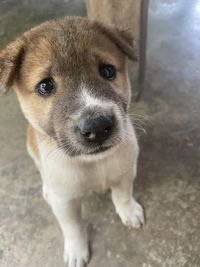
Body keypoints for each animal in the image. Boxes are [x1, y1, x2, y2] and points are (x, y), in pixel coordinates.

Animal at [0, 17, 144, 267]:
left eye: (107, 71)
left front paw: (129, 212)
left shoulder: (125, 173)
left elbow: (123, 195)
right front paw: (77, 251)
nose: (97, 127)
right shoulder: (65, 201)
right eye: (45, 86)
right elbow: (73, 227)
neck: (94, 163)